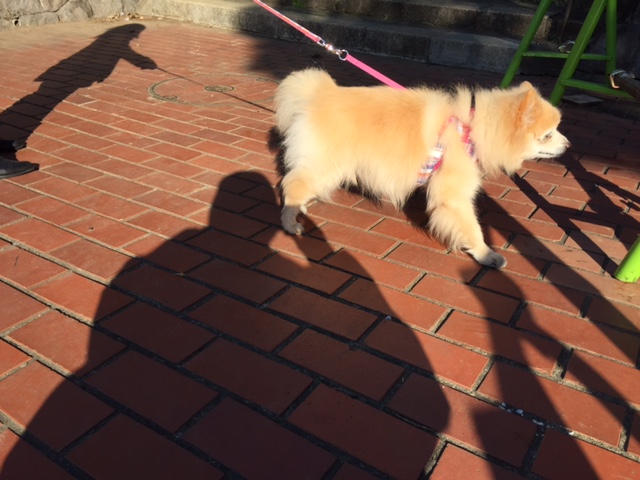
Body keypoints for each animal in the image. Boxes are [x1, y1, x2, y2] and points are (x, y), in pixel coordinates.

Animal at [274, 68, 569, 268]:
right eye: (547, 135)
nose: (568, 145)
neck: (473, 129)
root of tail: (321, 93)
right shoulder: (453, 196)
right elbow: (472, 227)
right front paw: (487, 254)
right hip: (328, 166)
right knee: (291, 184)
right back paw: (290, 222)